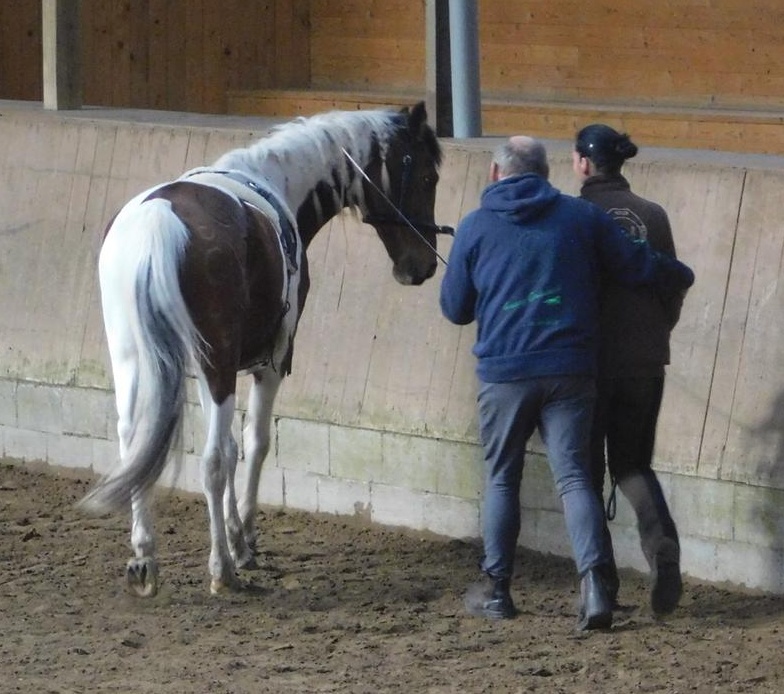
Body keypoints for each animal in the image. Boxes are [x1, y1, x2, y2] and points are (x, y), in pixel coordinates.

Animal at [82, 102, 450, 597]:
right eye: (427, 176)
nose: (423, 266)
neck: (274, 184)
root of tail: (159, 221)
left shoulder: (210, 372)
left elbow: (232, 445)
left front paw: (236, 535)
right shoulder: (270, 363)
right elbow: (253, 443)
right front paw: (244, 544)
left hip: (137, 361)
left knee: (134, 441)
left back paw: (144, 558)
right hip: (215, 364)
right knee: (211, 462)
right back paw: (221, 570)